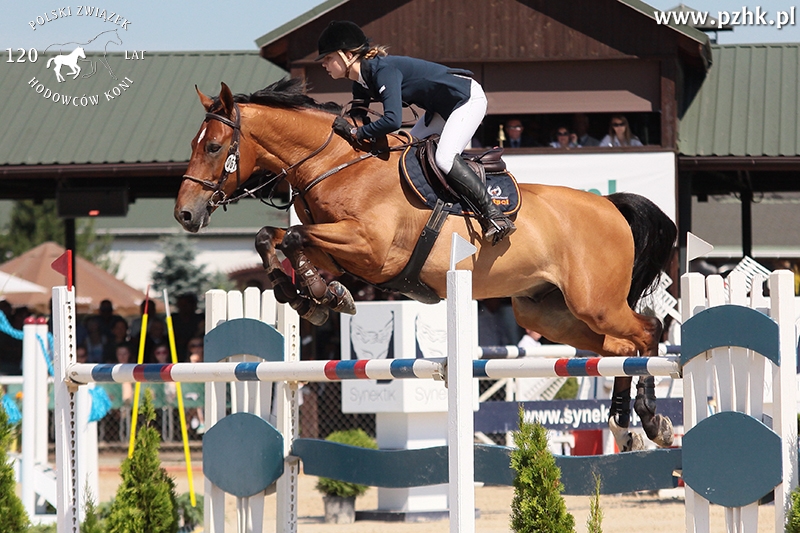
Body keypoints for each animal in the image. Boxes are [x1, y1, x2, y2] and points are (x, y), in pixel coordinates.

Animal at [173, 79, 676, 450]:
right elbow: (272, 238)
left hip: (594, 302)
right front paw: (305, 296)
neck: (338, 164)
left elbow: (294, 236)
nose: (185, 215)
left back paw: (652, 421)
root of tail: (610, 205)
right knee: (618, 347)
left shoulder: (371, 249)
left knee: (648, 332)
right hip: (545, 312)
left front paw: (320, 295)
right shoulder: (337, 248)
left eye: (214, 147)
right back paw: (623, 427)